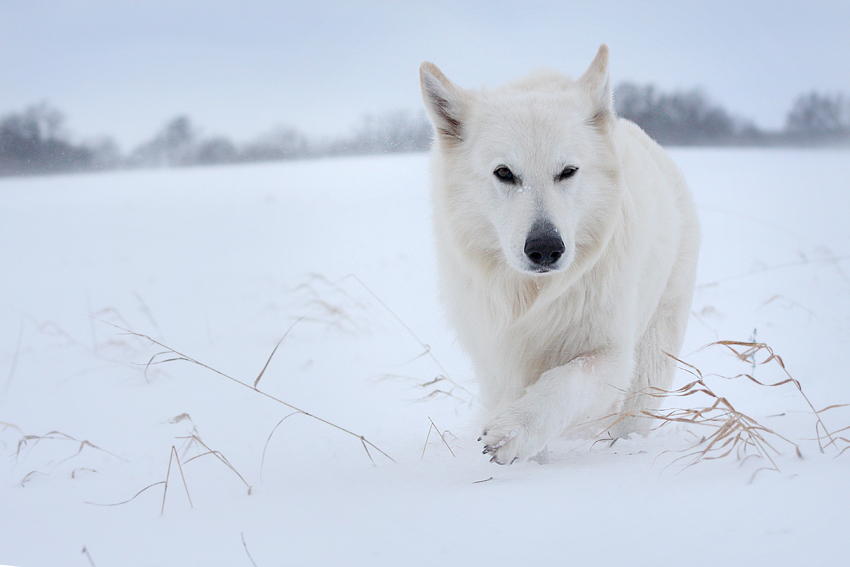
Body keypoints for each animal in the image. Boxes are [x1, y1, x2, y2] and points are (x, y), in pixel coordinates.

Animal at [420, 46, 700, 466]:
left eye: (568, 171)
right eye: (504, 173)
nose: (545, 249)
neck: (536, 294)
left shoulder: (611, 355)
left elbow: (566, 381)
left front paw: (514, 431)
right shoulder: (498, 357)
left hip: (652, 355)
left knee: (631, 417)